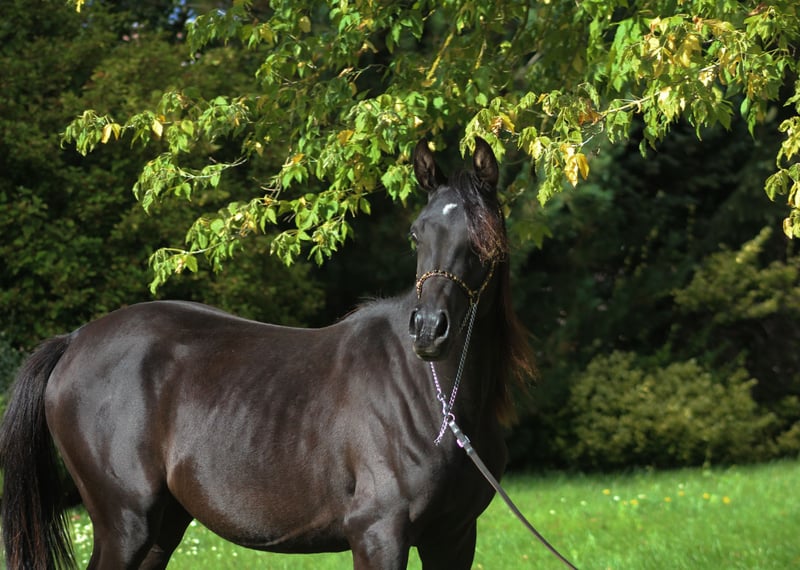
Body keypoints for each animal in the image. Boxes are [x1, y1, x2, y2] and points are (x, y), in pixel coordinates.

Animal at [0, 137, 533, 569]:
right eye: (416, 233)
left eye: (484, 235)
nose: (428, 331)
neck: (437, 402)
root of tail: (74, 340)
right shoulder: (379, 534)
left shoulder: (453, 538)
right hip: (126, 525)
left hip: (161, 527)